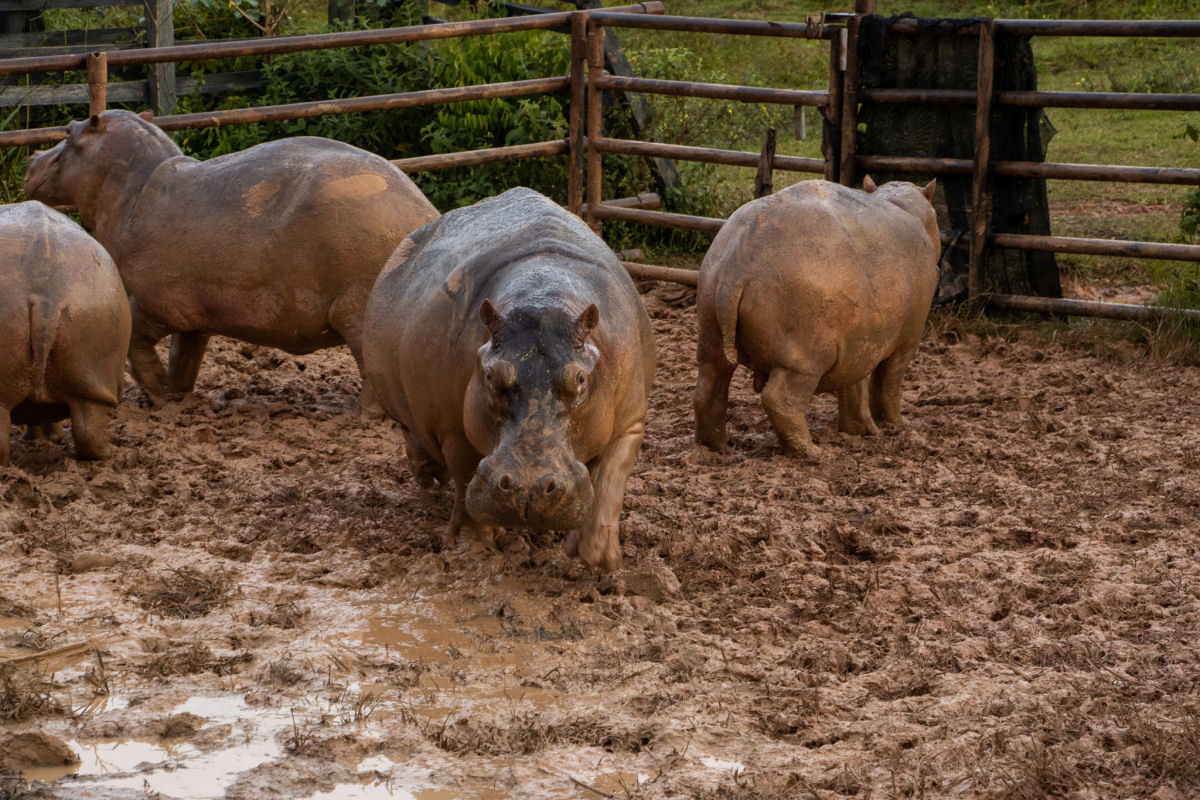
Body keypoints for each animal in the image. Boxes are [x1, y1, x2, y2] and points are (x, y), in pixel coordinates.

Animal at [23, 109, 439, 410]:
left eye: (69, 132)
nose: (31, 156)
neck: (130, 189)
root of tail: (426, 216)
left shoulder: (152, 303)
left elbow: (135, 342)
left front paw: (157, 395)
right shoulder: (193, 316)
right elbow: (185, 357)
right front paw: (178, 397)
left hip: (357, 311)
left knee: (372, 371)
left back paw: (359, 413)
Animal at [364, 188, 657, 573]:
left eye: (580, 378)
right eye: (490, 374)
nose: (526, 488)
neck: (545, 295)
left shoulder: (629, 423)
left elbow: (610, 482)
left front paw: (597, 557)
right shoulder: (455, 429)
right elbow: (465, 478)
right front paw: (473, 549)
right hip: (402, 404)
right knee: (414, 435)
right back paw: (432, 481)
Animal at [696, 177, 936, 460]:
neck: (903, 205)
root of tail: (736, 268)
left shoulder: (859, 344)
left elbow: (856, 388)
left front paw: (861, 430)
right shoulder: (907, 340)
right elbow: (888, 383)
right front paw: (897, 425)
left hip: (711, 331)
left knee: (707, 390)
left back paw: (717, 449)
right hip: (804, 359)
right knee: (780, 400)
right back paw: (814, 452)